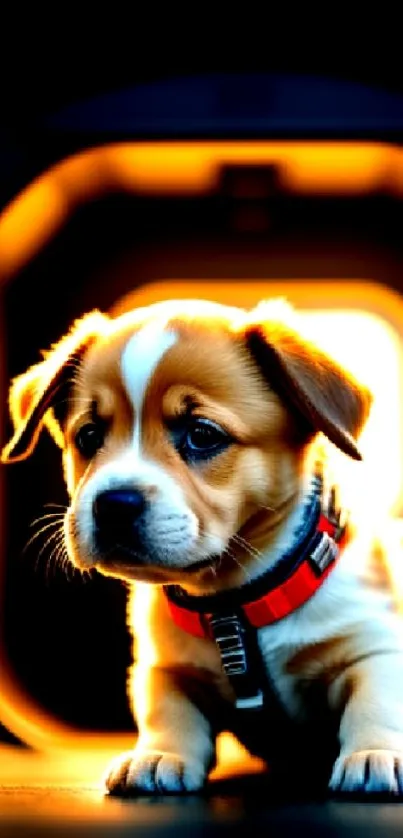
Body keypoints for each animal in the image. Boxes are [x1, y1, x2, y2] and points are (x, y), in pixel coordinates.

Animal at [2, 298, 403, 796]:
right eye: (89, 437)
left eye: (202, 434)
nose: (113, 505)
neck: (234, 602)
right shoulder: (164, 669)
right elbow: (167, 711)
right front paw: (159, 755)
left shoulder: (376, 646)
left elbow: (376, 701)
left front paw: (374, 753)